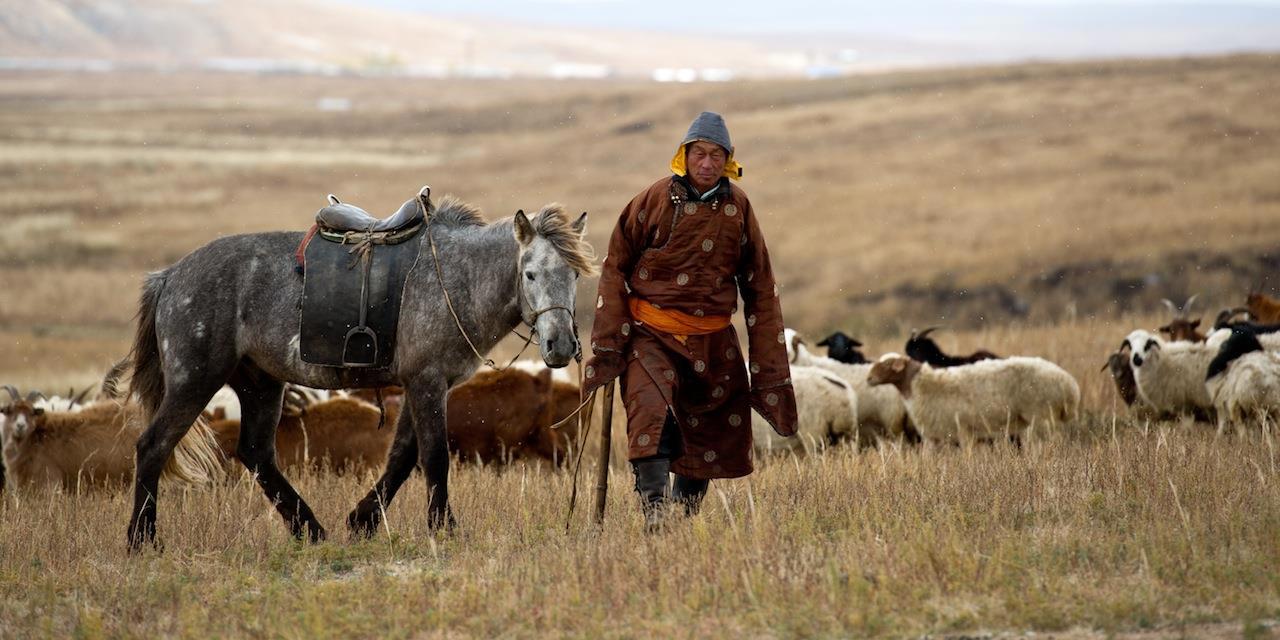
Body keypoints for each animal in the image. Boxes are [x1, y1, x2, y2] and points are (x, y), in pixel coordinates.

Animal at [124, 190, 593, 550]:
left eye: (574, 275)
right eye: (530, 274)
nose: (560, 345)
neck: (458, 278)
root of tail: (171, 276)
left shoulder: (424, 384)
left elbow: (402, 456)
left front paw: (362, 520)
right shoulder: (426, 382)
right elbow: (434, 456)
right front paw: (444, 528)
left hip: (261, 382)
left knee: (256, 453)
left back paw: (309, 529)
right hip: (194, 379)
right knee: (153, 445)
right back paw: (142, 540)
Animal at [860, 353, 1080, 448]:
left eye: (888, 364)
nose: (868, 378)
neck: (920, 386)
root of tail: (1069, 385)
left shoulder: (960, 431)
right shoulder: (938, 436)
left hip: (1042, 416)